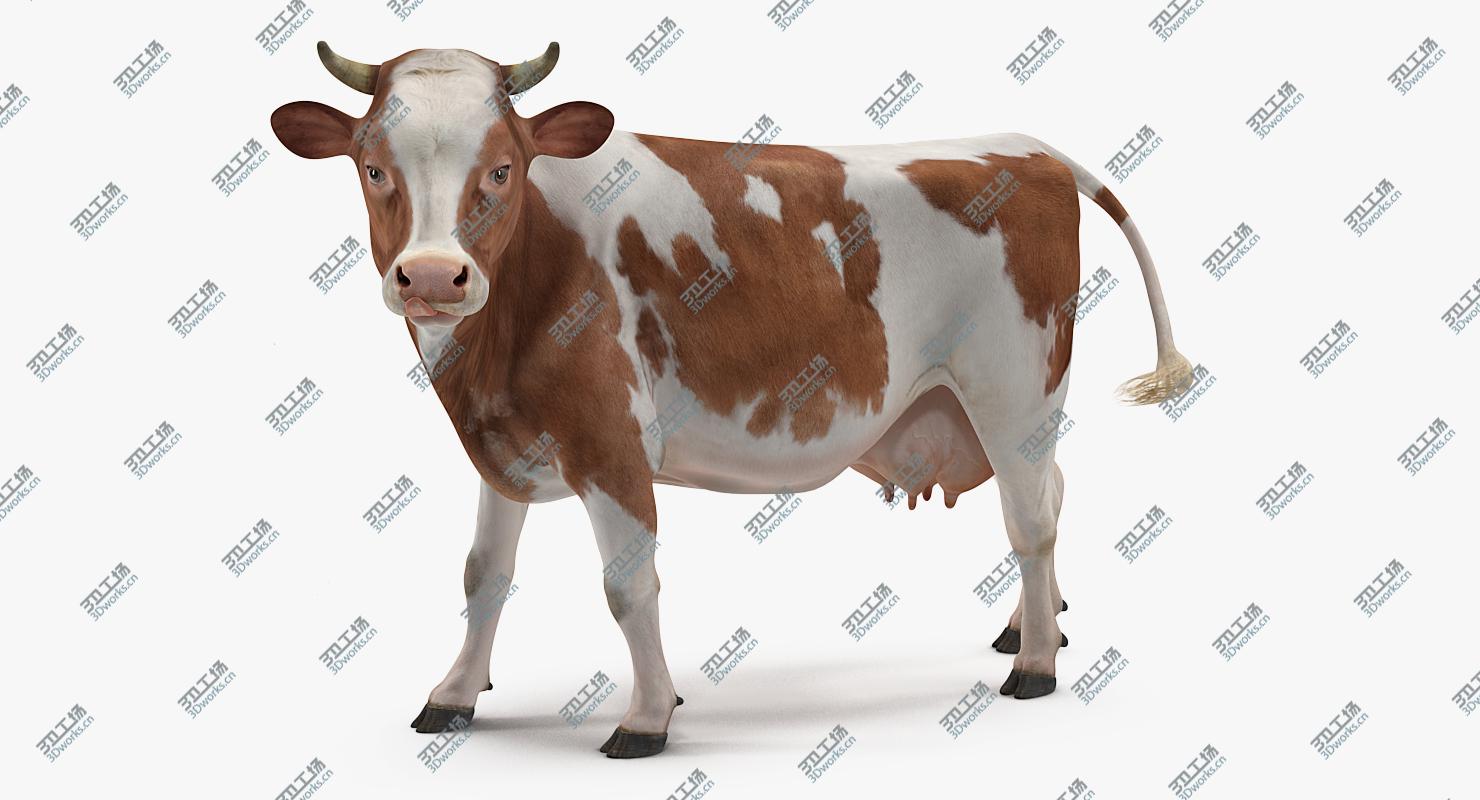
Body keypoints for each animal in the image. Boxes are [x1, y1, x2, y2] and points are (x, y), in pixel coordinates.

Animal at [271, 40, 1192, 758]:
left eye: (501, 168)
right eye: (372, 167)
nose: (432, 277)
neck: (487, 356)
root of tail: (1020, 146)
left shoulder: (609, 442)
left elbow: (628, 586)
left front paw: (647, 717)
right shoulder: (506, 441)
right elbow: (483, 576)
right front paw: (455, 694)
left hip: (1015, 388)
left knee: (1031, 520)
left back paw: (1035, 666)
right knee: (1053, 492)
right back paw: (1035, 626)